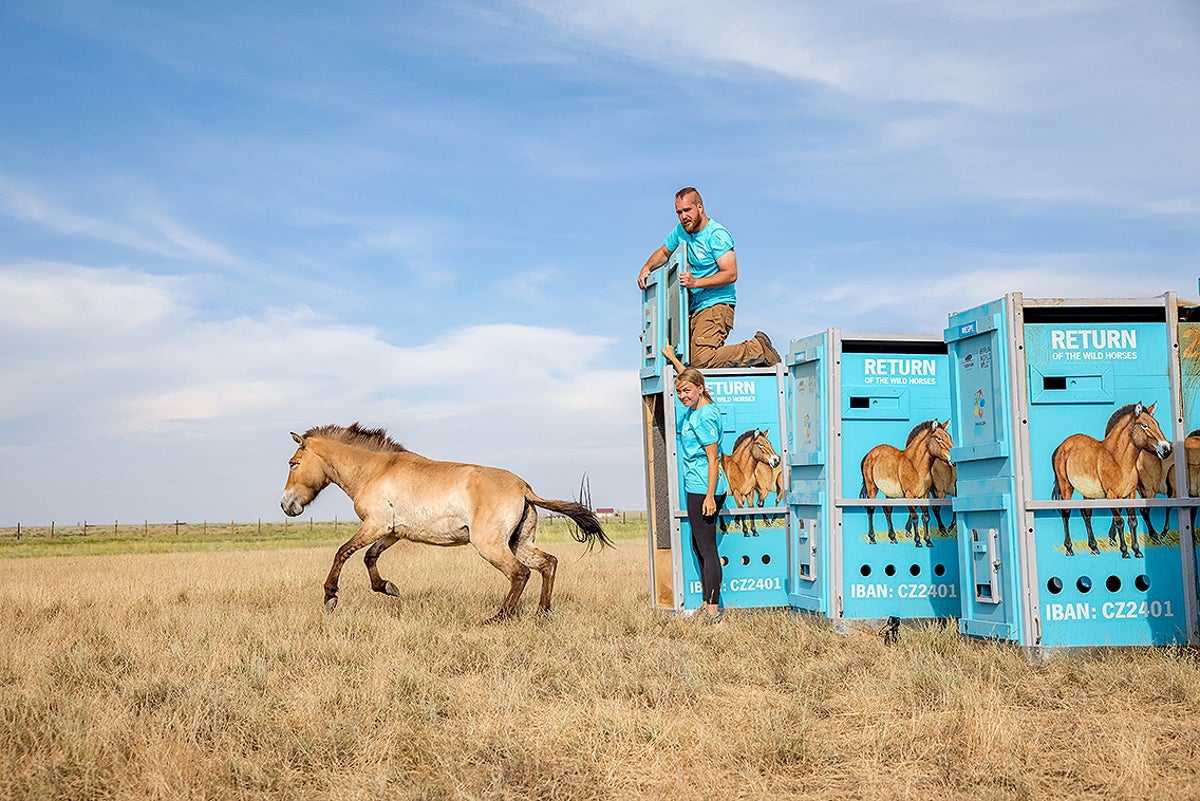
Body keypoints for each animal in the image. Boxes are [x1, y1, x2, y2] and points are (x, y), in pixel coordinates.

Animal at [282, 424, 614, 618]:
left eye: (293, 463)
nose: (286, 505)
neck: (376, 471)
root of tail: (524, 488)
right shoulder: (391, 531)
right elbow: (369, 558)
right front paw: (388, 588)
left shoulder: (374, 525)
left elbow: (343, 553)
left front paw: (330, 597)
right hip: (518, 542)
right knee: (548, 564)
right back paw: (543, 613)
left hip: (491, 545)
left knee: (520, 573)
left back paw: (500, 617)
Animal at [859, 417, 950, 546]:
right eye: (939, 438)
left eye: (949, 437)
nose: (952, 459)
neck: (916, 465)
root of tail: (870, 453)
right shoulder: (909, 495)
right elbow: (915, 517)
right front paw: (918, 541)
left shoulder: (924, 494)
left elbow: (926, 517)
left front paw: (928, 541)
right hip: (871, 487)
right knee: (871, 509)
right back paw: (872, 538)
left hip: (890, 493)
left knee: (887, 510)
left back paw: (893, 538)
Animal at [1056, 400, 1166, 556]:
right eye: (1145, 425)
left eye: (1157, 424)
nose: (1166, 449)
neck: (1118, 459)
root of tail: (1063, 445)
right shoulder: (1112, 495)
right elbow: (1119, 521)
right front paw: (1125, 551)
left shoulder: (1130, 493)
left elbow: (1133, 521)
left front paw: (1137, 550)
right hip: (1066, 486)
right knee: (1066, 513)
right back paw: (1069, 549)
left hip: (1088, 493)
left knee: (1086, 514)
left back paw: (1094, 547)